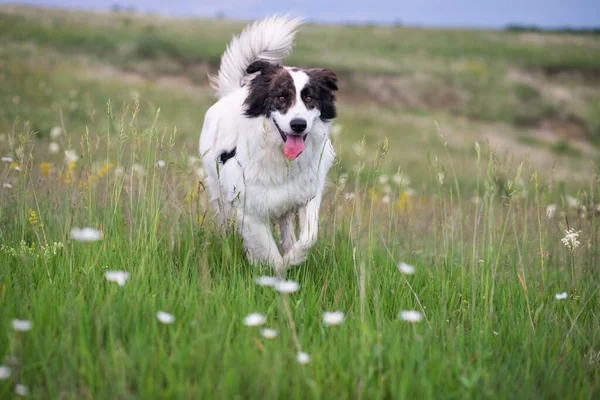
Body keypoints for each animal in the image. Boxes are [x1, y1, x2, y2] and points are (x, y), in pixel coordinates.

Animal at [200, 14, 338, 272]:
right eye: (281, 97)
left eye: (309, 98)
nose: (298, 125)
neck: (280, 159)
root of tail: (232, 93)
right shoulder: (249, 210)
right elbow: (268, 251)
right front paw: (274, 271)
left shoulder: (308, 195)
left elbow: (309, 237)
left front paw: (293, 260)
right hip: (218, 193)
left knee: (286, 229)